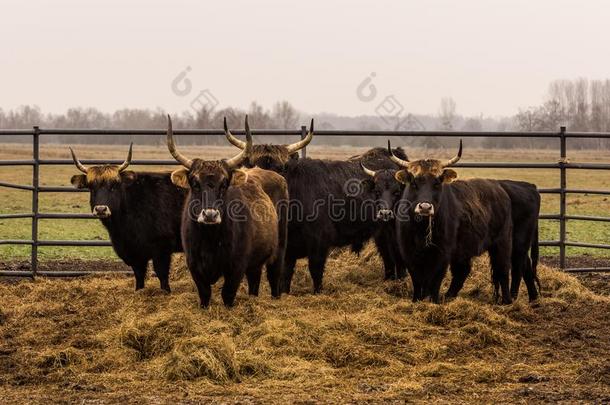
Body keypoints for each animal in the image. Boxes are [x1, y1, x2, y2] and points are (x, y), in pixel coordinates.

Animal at [165, 114, 286, 306]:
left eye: (224, 184)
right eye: (195, 183)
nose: (210, 215)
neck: (210, 238)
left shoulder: (236, 267)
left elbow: (227, 294)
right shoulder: (194, 266)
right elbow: (205, 294)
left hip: (279, 249)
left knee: (275, 277)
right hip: (255, 263)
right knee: (254, 281)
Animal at [222, 121, 404, 292]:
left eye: (279, 168)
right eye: (251, 166)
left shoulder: (320, 242)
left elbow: (315, 270)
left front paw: (317, 292)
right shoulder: (287, 247)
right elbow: (286, 274)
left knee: (398, 256)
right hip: (381, 232)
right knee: (388, 257)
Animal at [390, 141, 512, 304]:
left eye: (437, 184)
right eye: (414, 183)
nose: (425, 207)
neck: (421, 229)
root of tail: (499, 188)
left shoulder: (443, 254)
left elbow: (435, 280)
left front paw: (433, 301)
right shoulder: (409, 252)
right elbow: (417, 279)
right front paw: (417, 300)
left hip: (502, 243)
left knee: (502, 269)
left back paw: (507, 301)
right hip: (464, 250)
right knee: (462, 272)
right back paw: (449, 296)